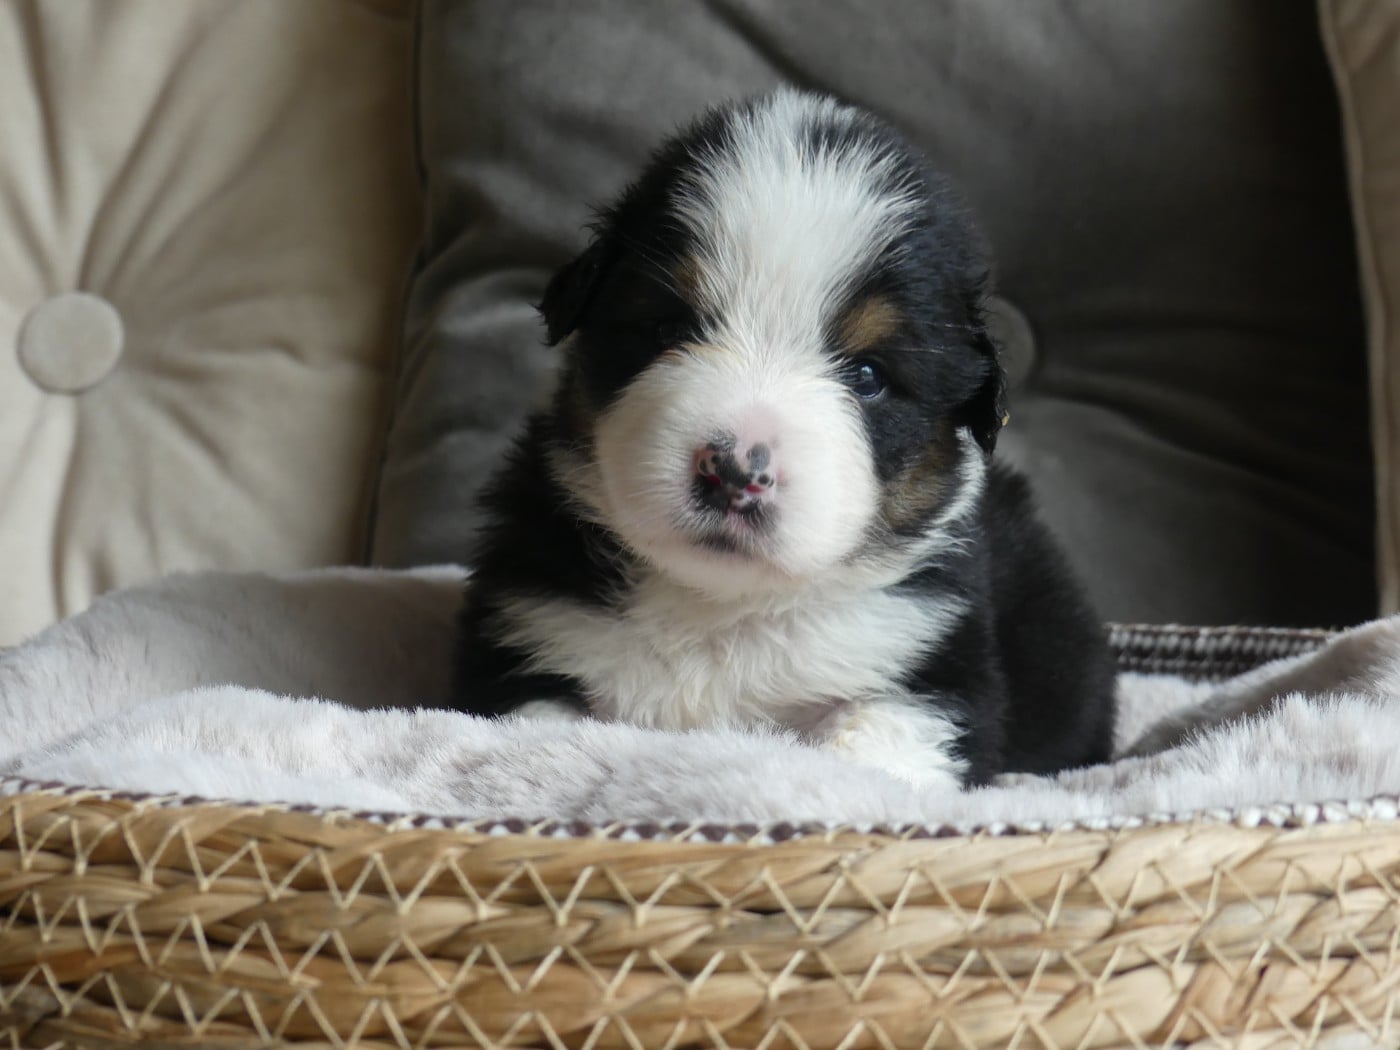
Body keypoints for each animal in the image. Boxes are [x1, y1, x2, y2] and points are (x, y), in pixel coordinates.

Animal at [451, 89, 1115, 789]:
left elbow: (875, 748)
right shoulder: (527, 633)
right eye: (665, 330)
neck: (718, 611)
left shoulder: (931, 668)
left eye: (868, 376)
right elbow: (541, 735)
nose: (734, 471)